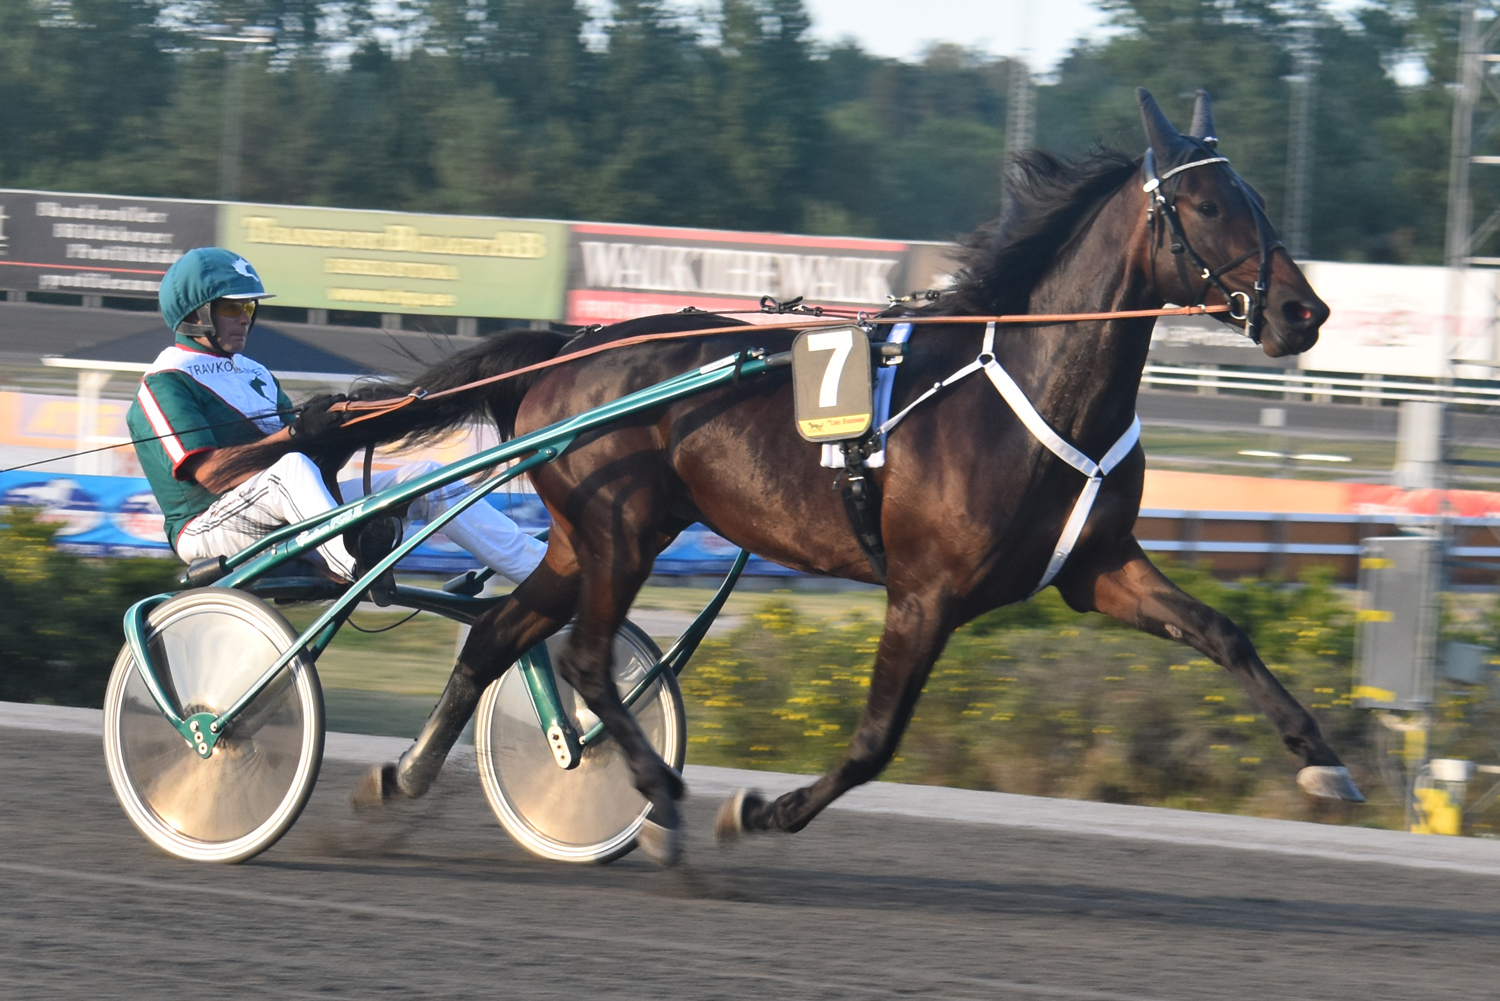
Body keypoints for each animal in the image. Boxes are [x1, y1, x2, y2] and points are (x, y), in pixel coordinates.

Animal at [270, 90, 1362, 864]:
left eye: (1261, 198)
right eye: (1208, 203)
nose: (1303, 312)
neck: (1027, 386)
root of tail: (570, 346)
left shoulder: (1094, 567)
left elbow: (1225, 631)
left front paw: (1326, 764)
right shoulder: (926, 592)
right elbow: (877, 737)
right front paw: (761, 808)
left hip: (588, 536)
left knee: (500, 633)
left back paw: (403, 779)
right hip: (618, 529)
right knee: (580, 659)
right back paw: (660, 793)